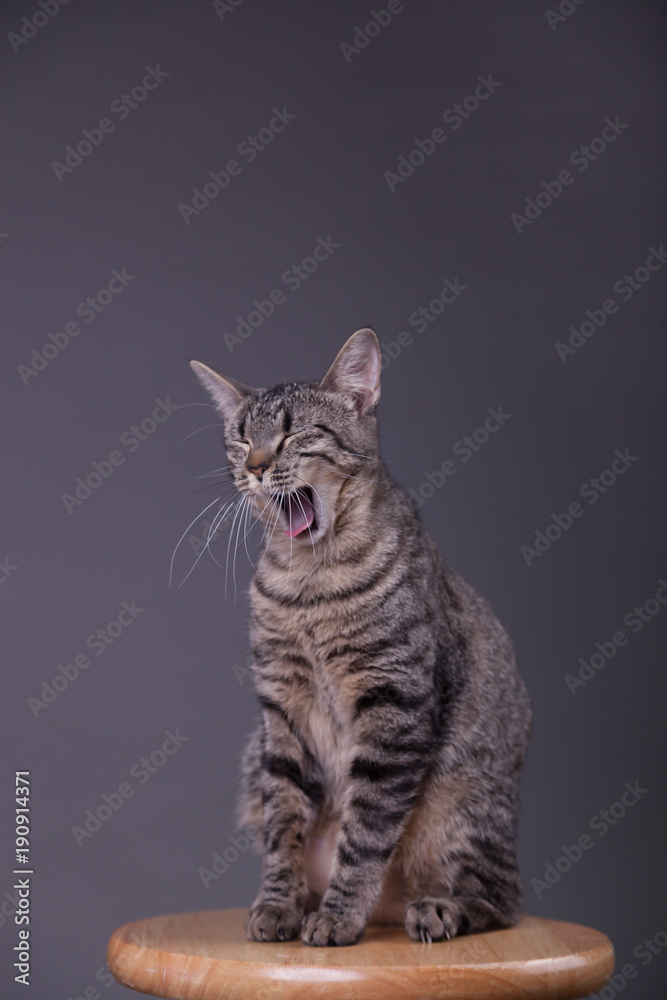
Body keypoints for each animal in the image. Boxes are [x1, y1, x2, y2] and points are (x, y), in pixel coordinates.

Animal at [190, 326, 536, 944]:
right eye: (240, 439)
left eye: (292, 433)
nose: (255, 467)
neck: (309, 585)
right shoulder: (281, 712)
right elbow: (283, 823)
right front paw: (278, 903)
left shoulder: (393, 704)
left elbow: (367, 830)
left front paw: (338, 915)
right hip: (253, 758)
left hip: (460, 800)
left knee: (500, 896)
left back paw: (438, 909)